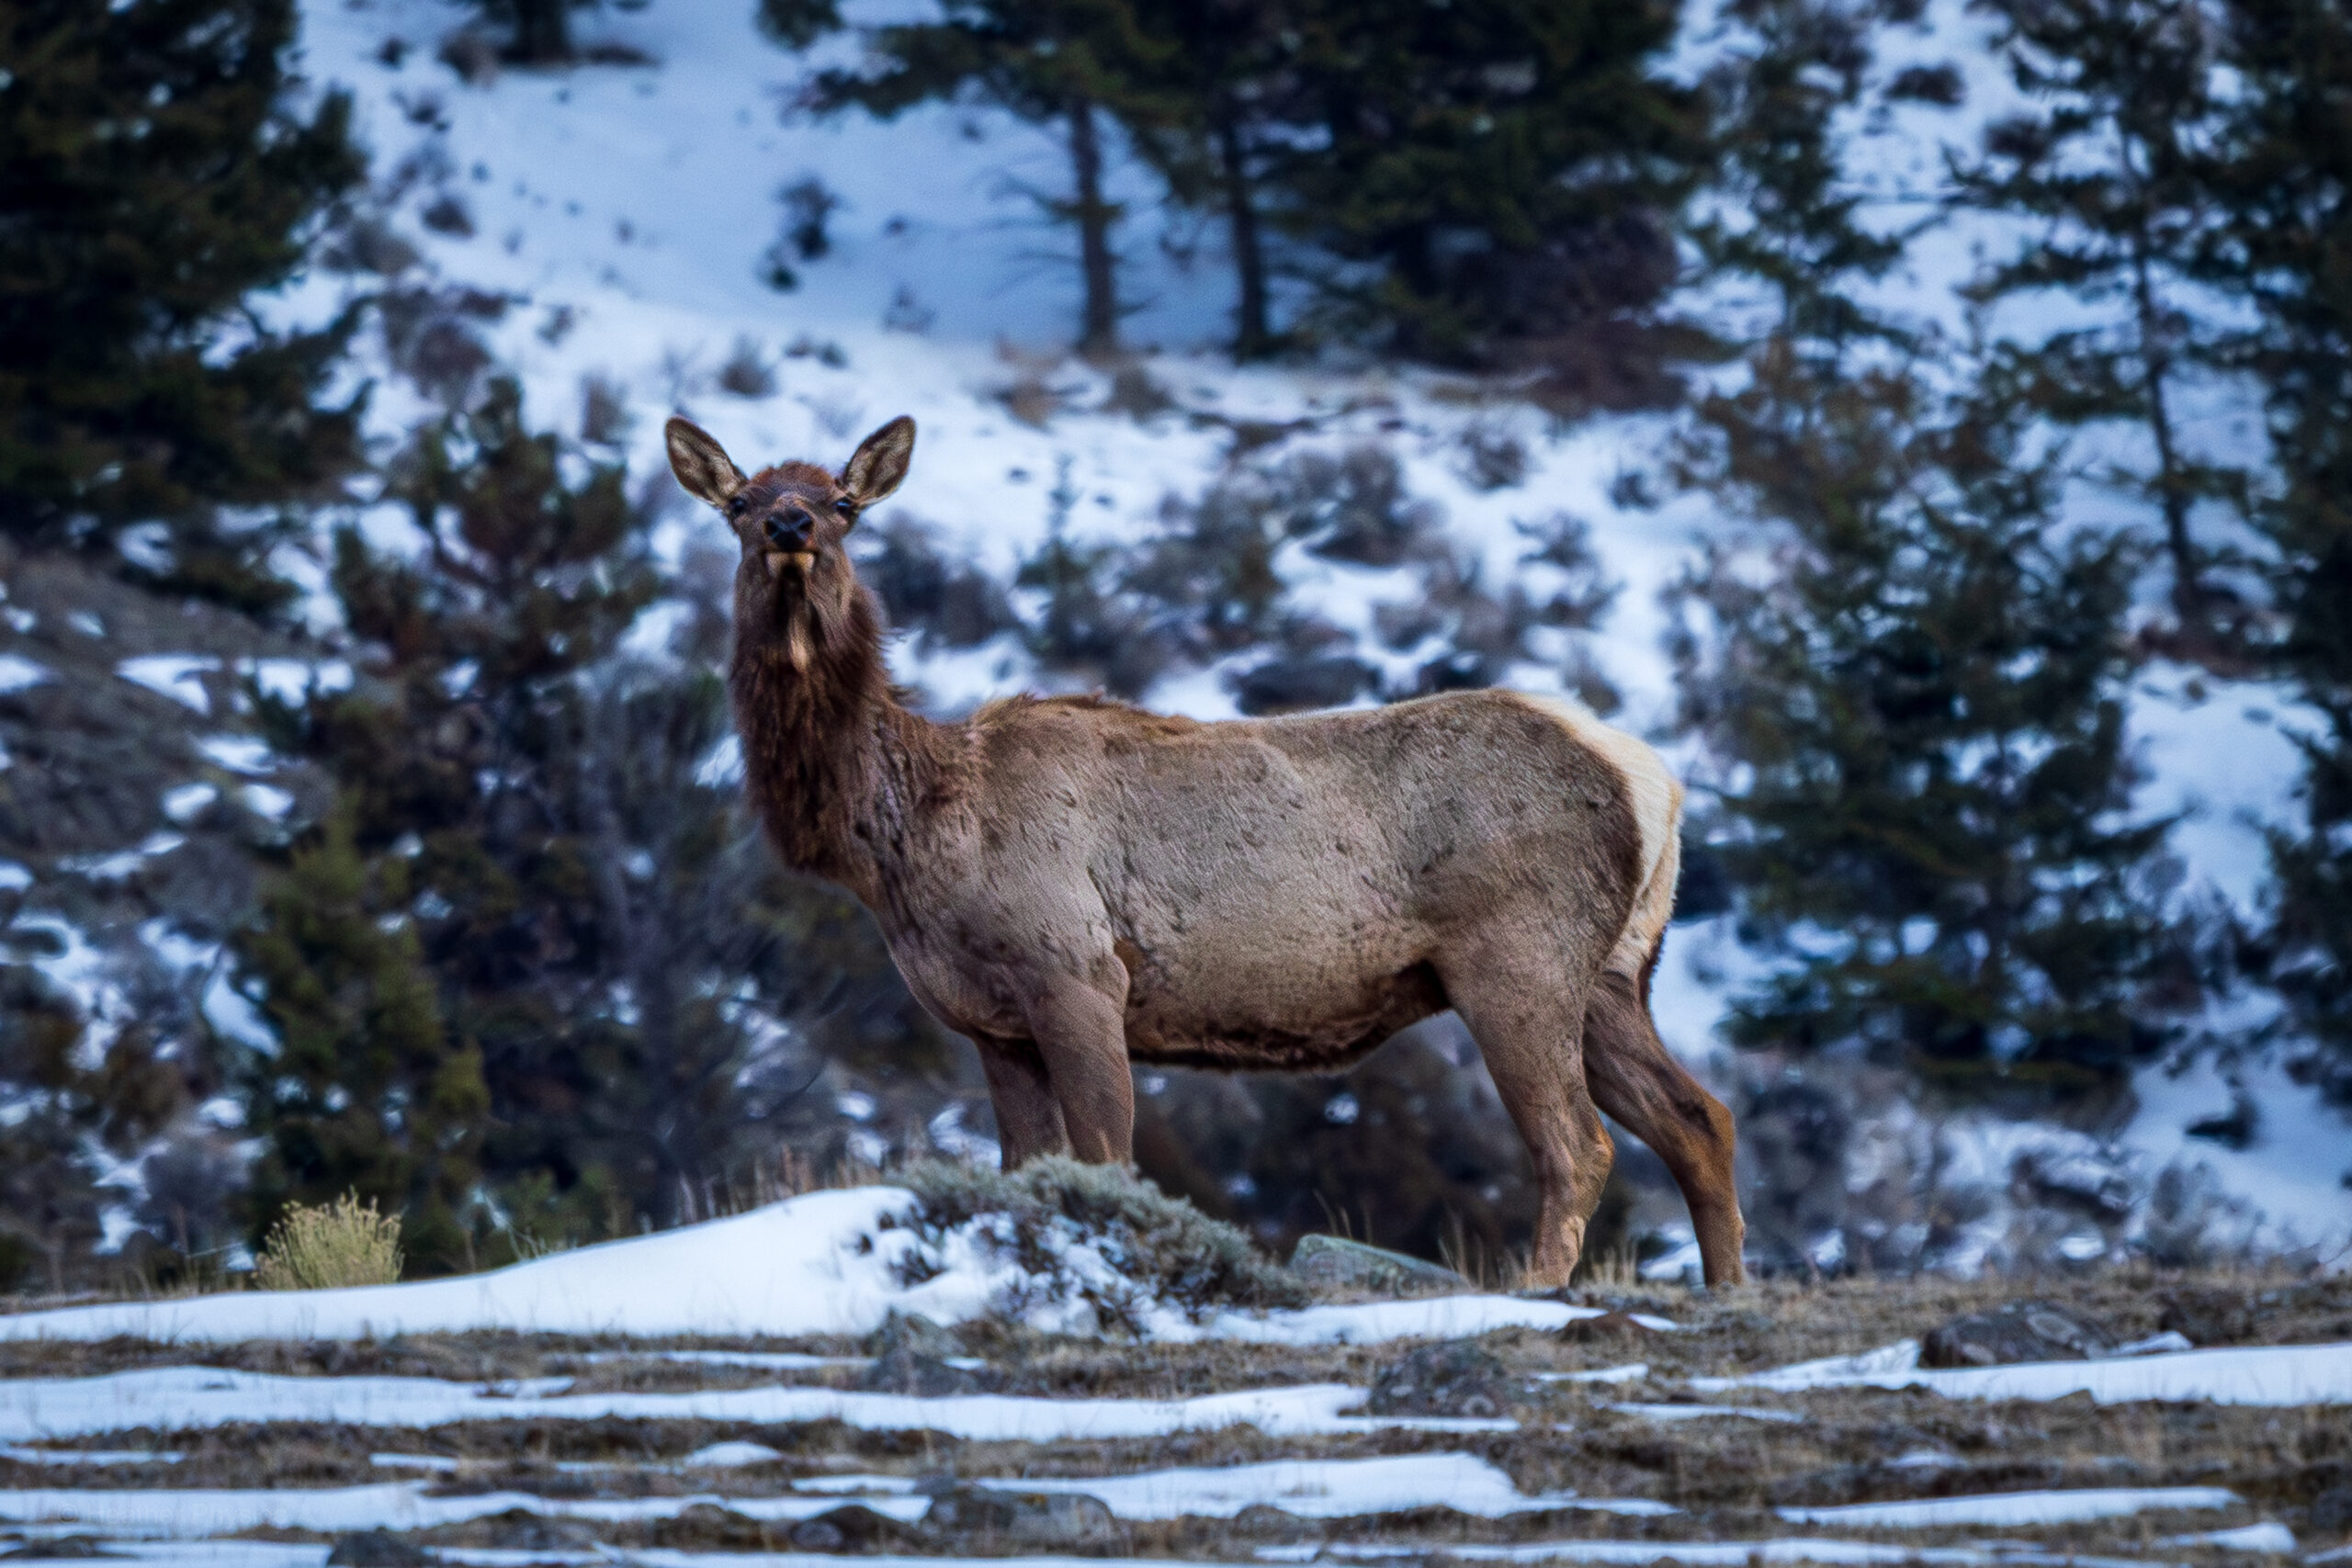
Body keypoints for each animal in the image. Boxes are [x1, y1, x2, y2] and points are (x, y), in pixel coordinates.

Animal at [665, 413, 1747, 1287]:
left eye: (844, 501)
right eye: (742, 502)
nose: (791, 528)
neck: (901, 837)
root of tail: (1653, 784)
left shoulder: (1077, 969)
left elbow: (1107, 1160)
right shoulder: (990, 1023)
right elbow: (1025, 1173)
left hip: (1516, 957)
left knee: (1579, 1143)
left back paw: (1538, 1290)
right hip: (1613, 972)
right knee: (1700, 1118)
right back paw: (1723, 1287)